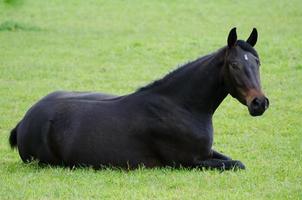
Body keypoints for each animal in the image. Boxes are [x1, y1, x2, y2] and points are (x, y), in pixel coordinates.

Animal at [9, 27, 268, 170]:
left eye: (257, 62)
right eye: (234, 65)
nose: (260, 103)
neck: (181, 107)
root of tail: (25, 119)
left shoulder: (206, 153)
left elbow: (233, 159)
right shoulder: (189, 162)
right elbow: (237, 164)